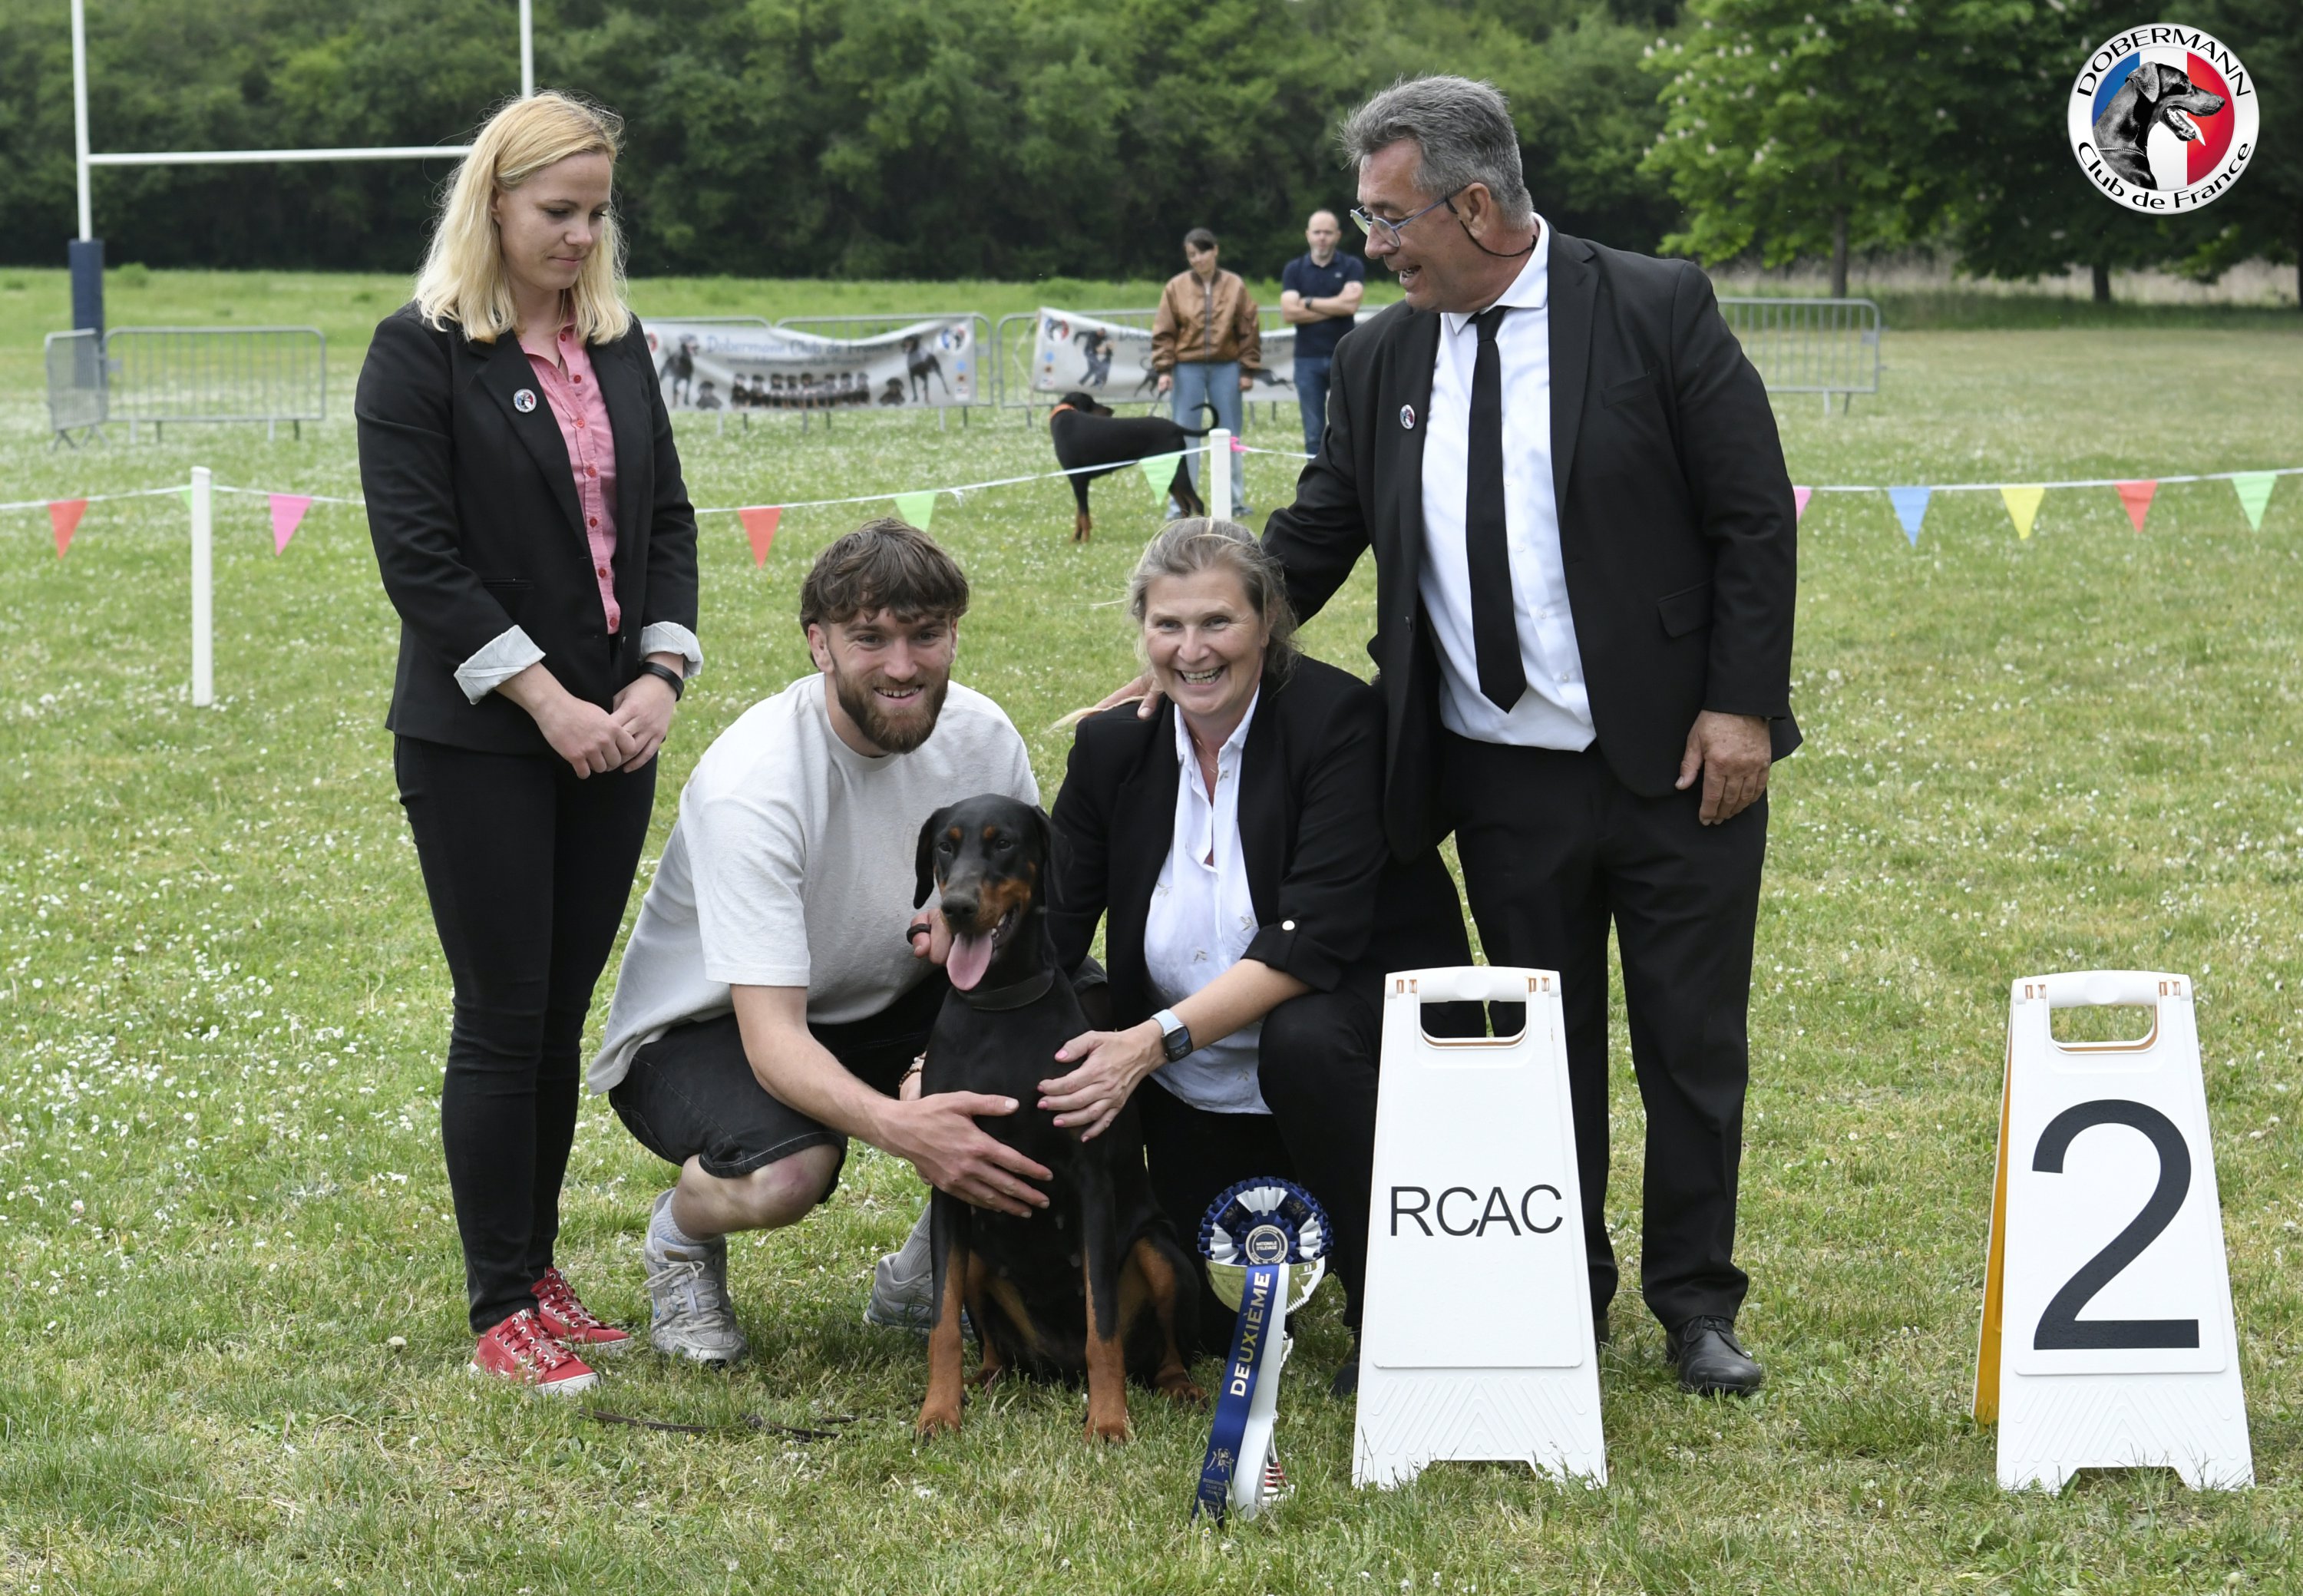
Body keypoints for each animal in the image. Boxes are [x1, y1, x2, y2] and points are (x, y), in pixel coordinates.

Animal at [911, 795, 1204, 1443]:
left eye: (1003, 842)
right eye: (946, 844)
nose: (956, 907)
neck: (998, 1009)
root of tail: (1058, 1365)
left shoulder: (1090, 1183)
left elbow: (1103, 1323)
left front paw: (1109, 1420)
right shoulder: (950, 1177)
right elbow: (942, 1322)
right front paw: (937, 1411)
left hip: (1158, 1249)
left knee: (1162, 1349)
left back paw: (1179, 1387)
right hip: (979, 1256)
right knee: (992, 1345)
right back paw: (981, 1380)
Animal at [1047, 391, 1212, 543]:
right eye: (1091, 402)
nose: (1111, 410)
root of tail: (1176, 427)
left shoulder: (1079, 479)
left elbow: (1084, 515)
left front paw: (1084, 540)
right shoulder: (1078, 481)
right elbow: (1079, 513)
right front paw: (1075, 539)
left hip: (1176, 472)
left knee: (1197, 503)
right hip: (1167, 474)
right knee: (1185, 505)